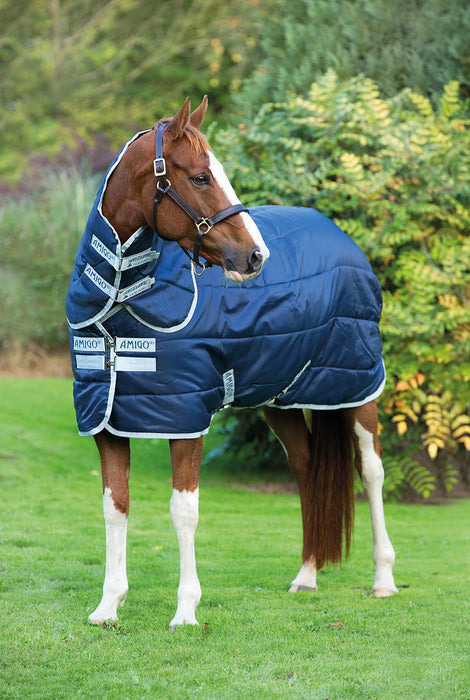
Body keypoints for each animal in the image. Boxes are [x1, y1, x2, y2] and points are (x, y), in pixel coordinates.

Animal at [66, 96, 397, 629]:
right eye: (201, 177)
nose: (256, 256)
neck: (121, 300)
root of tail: (344, 239)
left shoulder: (185, 418)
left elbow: (184, 512)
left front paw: (185, 611)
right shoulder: (107, 420)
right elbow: (115, 507)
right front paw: (108, 606)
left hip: (356, 387)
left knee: (371, 471)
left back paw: (383, 579)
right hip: (281, 399)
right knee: (306, 468)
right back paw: (306, 576)